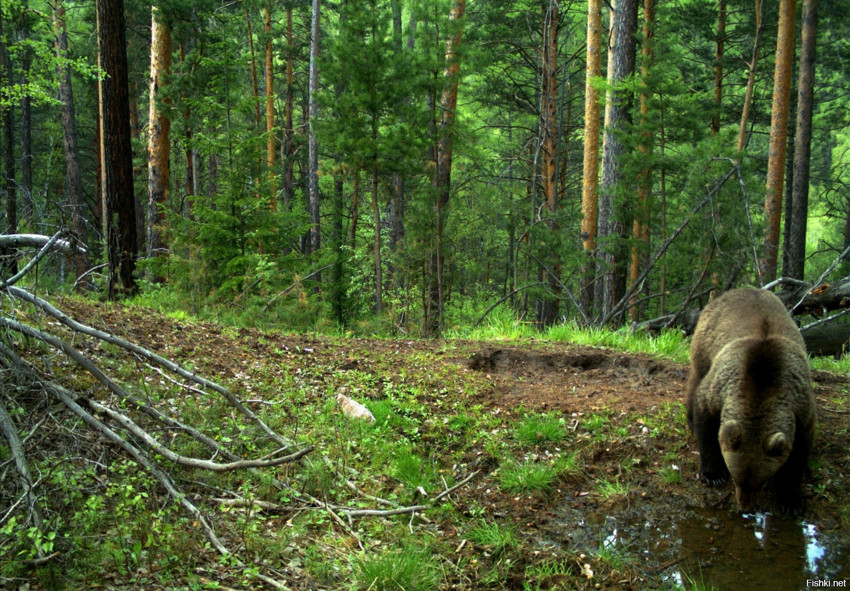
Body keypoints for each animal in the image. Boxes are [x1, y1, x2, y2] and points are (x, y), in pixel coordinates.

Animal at [684, 290, 816, 516]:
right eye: (736, 478)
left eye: (759, 482)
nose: (744, 507)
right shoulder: (721, 385)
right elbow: (706, 419)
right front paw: (713, 474)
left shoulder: (800, 405)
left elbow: (798, 453)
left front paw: (791, 500)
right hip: (705, 341)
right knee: (697, 376)